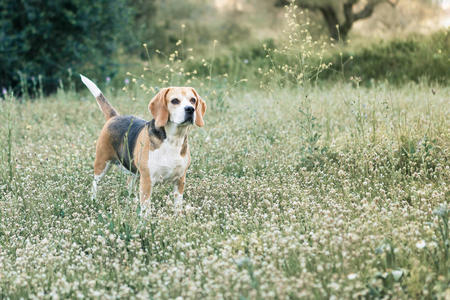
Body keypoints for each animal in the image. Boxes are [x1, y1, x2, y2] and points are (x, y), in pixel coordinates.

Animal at [80, 74, 207, 211]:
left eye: (193, 100)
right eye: (175, 101)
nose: (190, 109)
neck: (173, 140)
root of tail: (114, 117)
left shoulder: (180, 180)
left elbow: (178, 205)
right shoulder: (147, 180)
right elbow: (146, 209)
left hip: (133, 171)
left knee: (129, 184)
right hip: (102, 164)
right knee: (94, 183)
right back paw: (93, 200)